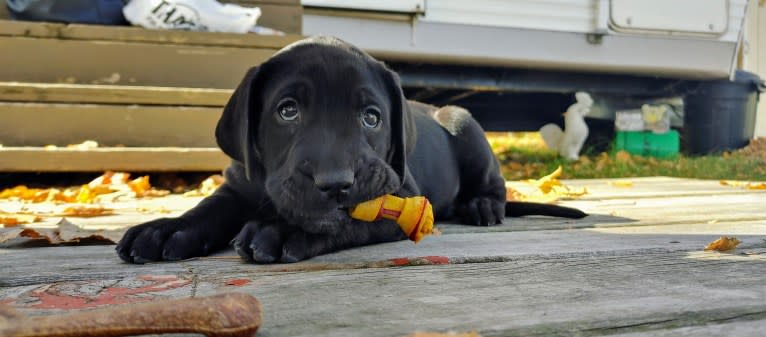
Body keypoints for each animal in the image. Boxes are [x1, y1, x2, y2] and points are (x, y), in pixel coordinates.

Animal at [115, 36, 588, 262]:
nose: (335, 183)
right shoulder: (238, 185)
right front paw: (167, 229)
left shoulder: (400, 196)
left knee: (495, 184)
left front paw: (284, 231)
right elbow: (209, 207)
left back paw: (482, 206)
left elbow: (350, 221)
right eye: (287, 111)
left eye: (371, 118)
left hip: (462, 122)